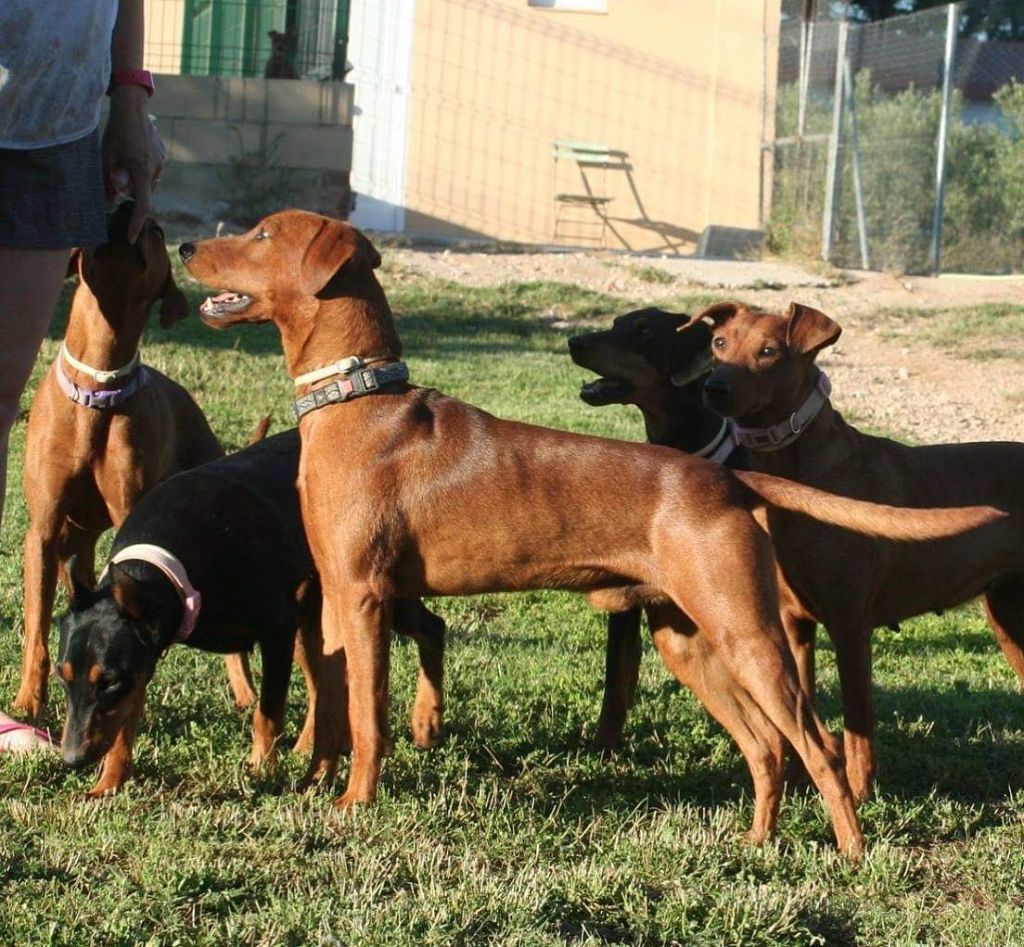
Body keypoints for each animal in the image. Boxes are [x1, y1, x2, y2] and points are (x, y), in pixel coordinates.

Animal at [565, 309, 733, 745]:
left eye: (644, 332)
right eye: (616, 322)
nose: (574, 341)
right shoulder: (623, 598)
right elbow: (616, 676)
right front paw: (603, 748)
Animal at [700, 300, 1024, 798]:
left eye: (769, 351)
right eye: (719, 343)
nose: (713, 389)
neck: (797, 470)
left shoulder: (849, 624)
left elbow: (857, 726)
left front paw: (858, 793)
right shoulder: (795, 624)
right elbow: (805, 710)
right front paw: (806, 785)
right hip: (1007, 616)